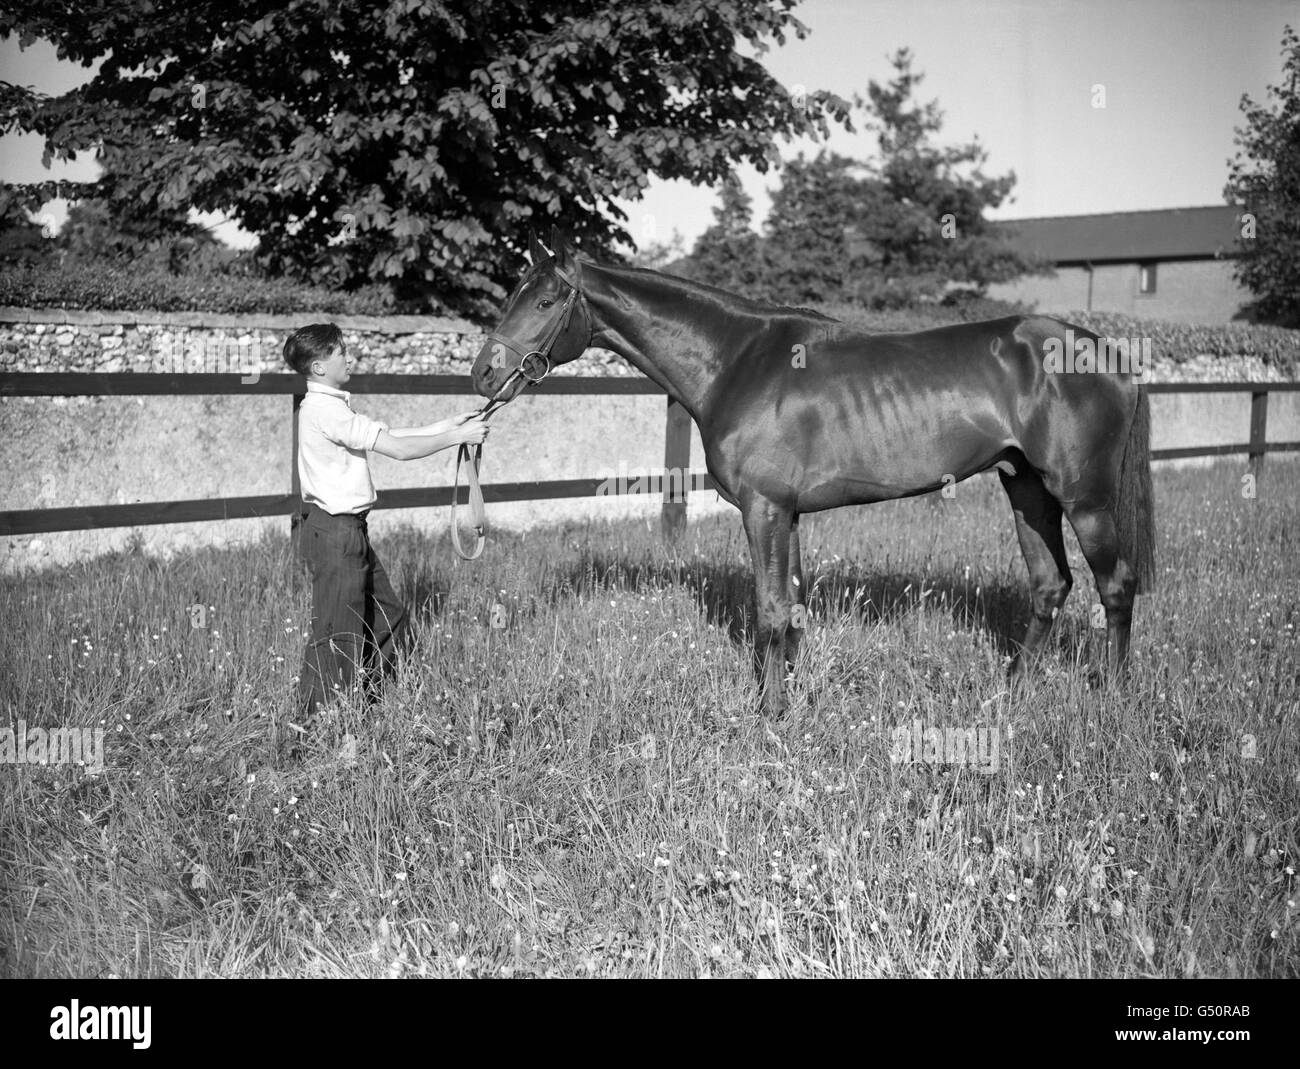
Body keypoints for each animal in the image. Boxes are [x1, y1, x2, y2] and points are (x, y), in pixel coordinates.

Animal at [472, 231, 1156, 716]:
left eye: (544, 300)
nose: (483, 373)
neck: (735, 360)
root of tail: (1111, 357)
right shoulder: (789, 514)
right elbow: (793, 609)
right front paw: (793, 698)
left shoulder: (765, 509)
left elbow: (771, 611)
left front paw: (770, 712)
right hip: (1026, 488)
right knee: (1050, 585)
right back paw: (1011, 689)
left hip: (1085, 500)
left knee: (1116, 586)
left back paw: (1114, 694)